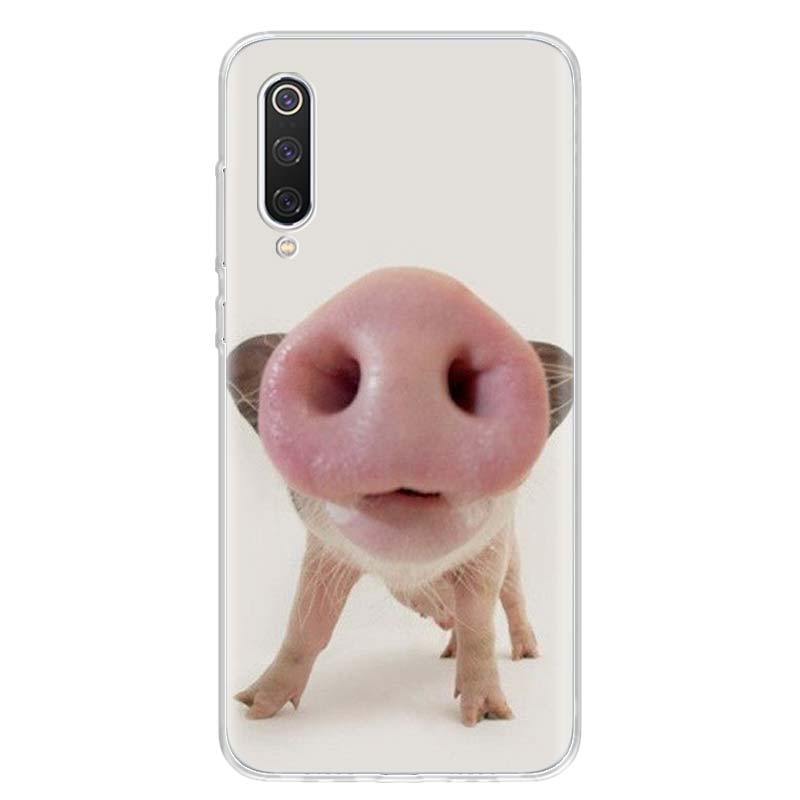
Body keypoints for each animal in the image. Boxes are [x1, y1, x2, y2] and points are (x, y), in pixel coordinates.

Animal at [227, 267, 573, 726]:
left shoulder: (490, 550)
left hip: (513, 549)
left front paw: (489, 717)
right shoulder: (325, 554)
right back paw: (446, 644)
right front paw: (251, 708)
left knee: (513, 595)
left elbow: (480, 621)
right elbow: (306, 626)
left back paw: (526, 654)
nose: (405, 291)